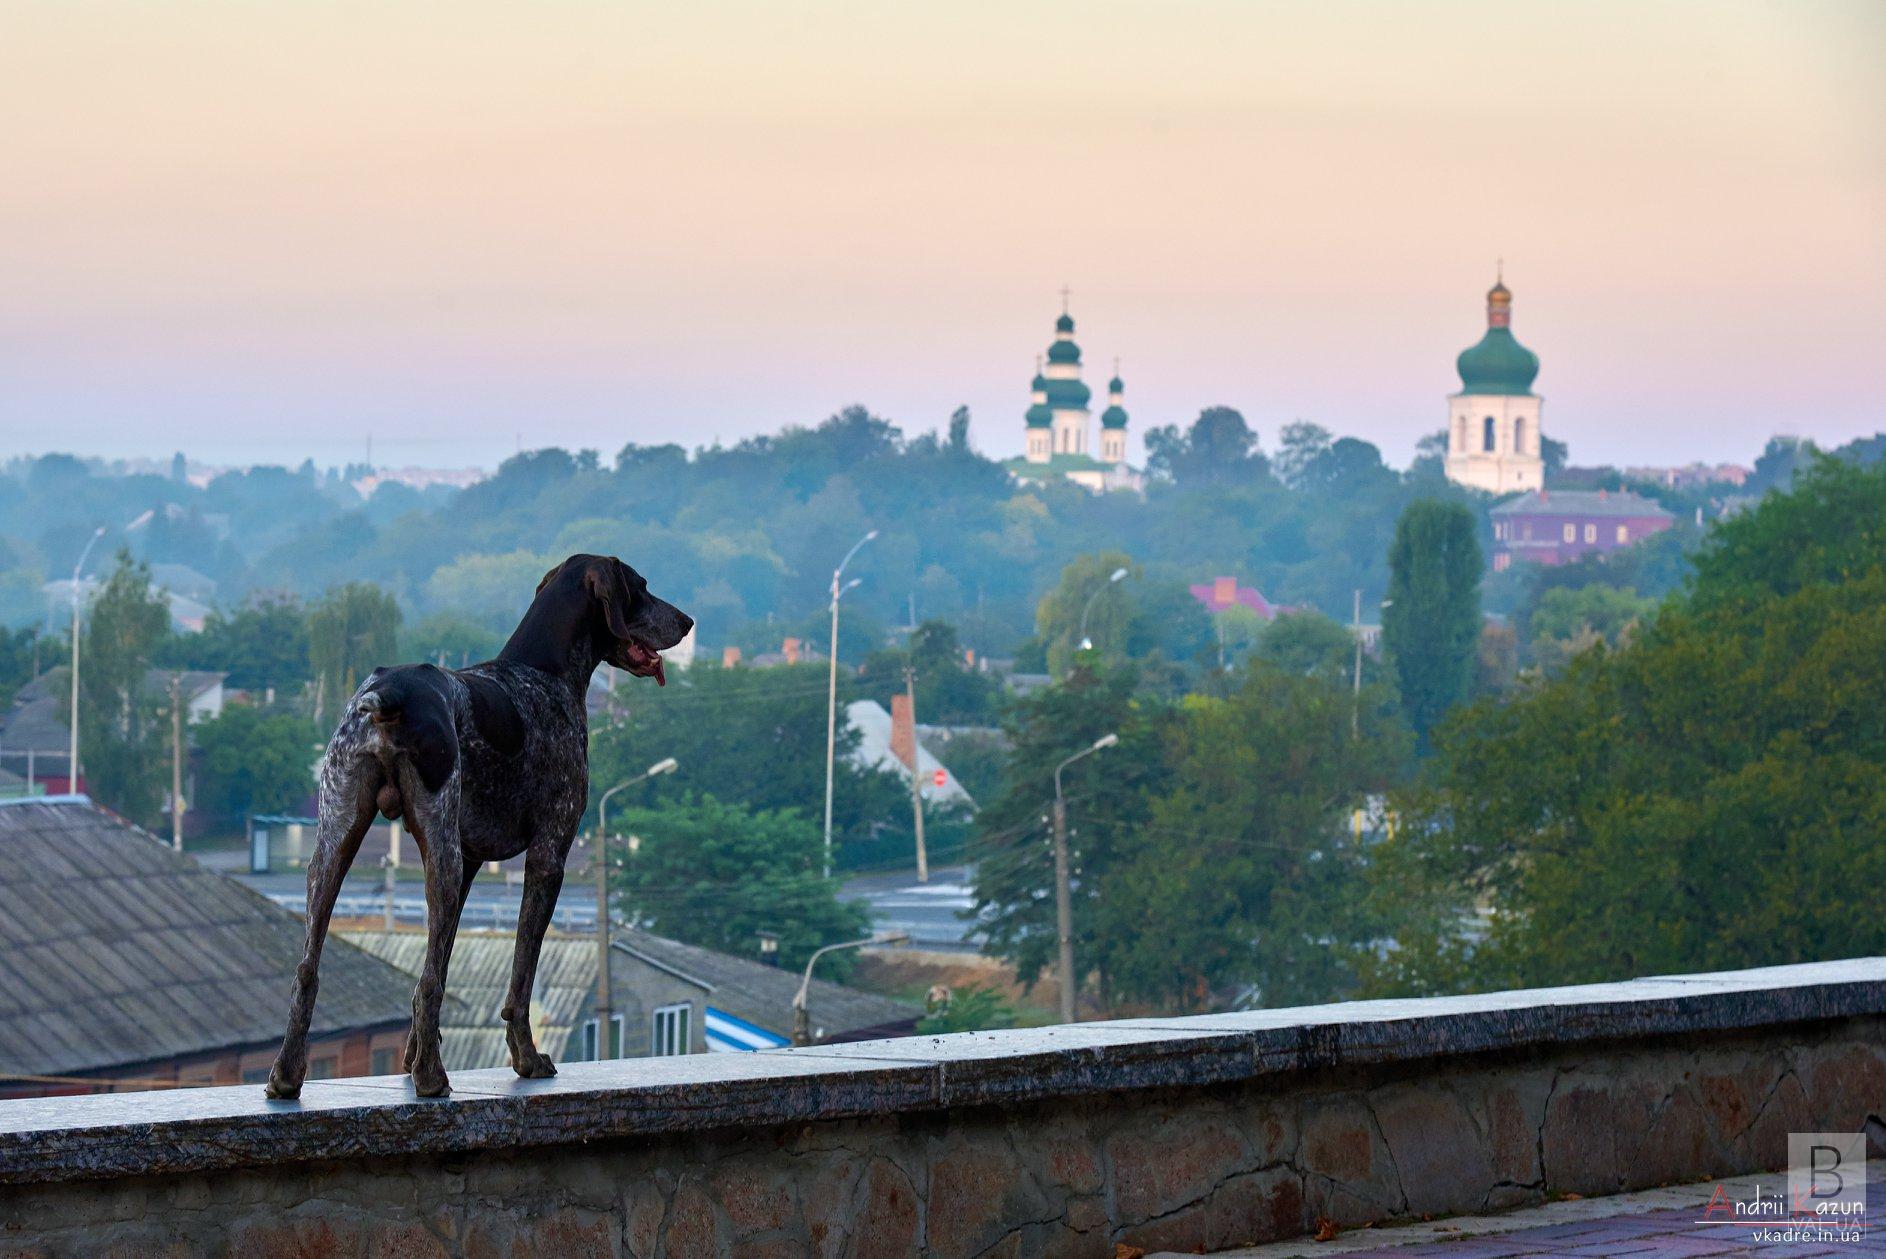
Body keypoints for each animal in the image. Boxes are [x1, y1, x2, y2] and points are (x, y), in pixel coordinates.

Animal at [258, 554, 686, 1093]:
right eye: (641, 587)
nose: (688, 621)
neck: (541, 672)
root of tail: (389, 692)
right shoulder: (547, 857)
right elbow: (519, 976)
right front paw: (525, 1058)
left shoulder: (470, 863)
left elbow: (439, 967)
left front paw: (412, 1054)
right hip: (439, 854)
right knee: (425, 981)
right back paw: (431, 1077)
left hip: (335, 845)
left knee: (309, 969)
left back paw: (288, 1073)